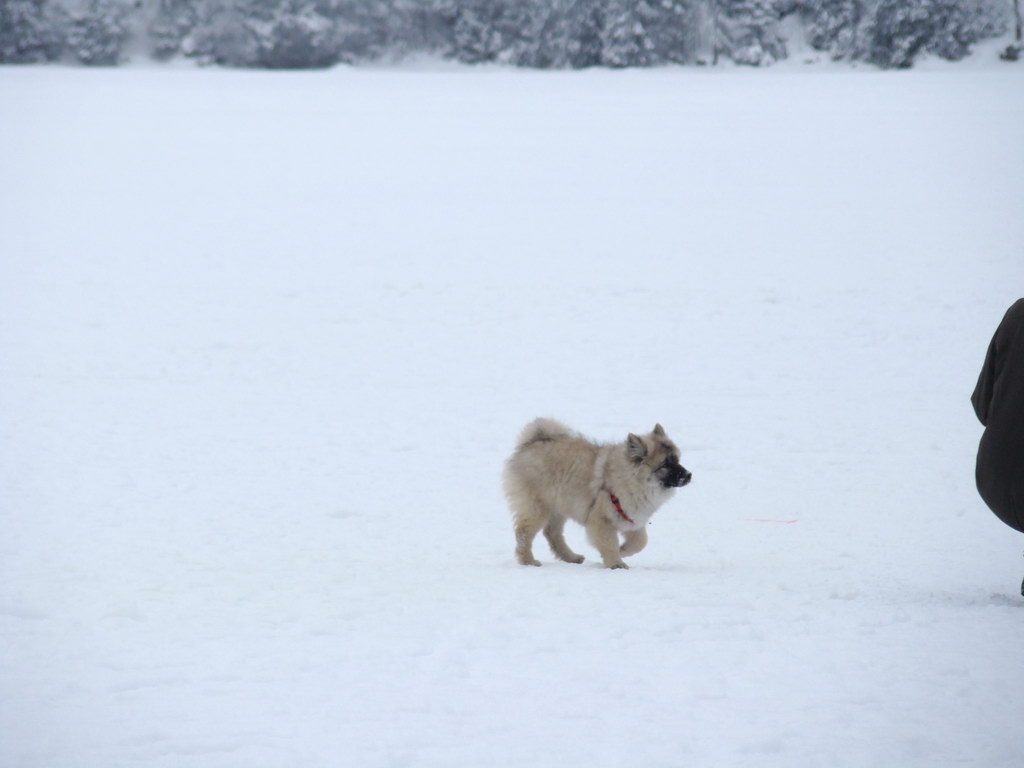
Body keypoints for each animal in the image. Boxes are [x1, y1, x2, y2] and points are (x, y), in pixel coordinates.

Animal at [501, 417, 688, 569]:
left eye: (677, 460)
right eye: (665, 465)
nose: (688, 475)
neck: (629, 479)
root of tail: (531, 442)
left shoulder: (631, 518)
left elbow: (640, 542)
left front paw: (623, 550)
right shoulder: (602, 519)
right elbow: (610, 542)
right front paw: (615, 563)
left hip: (559, 507)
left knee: (552, 533)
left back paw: (571, 557)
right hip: (538, 507)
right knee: (523, 533)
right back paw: (528, 561)